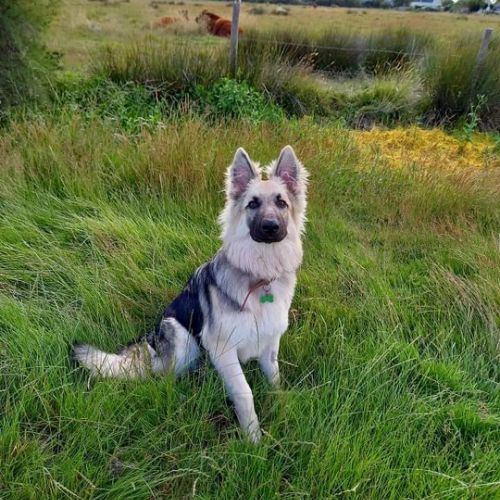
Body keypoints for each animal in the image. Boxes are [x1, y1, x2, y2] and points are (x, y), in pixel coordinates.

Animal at [73, 146, 308, 442]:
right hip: (183, 340)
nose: (270, 227)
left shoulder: (269, 344)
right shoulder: (223, 350)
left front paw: (281, 407)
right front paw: (253, 438)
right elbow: (245, 393)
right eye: (253, 204)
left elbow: (274, 379)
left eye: (282, 203)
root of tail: (152, 342)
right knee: (163, 380)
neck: (259, 274)